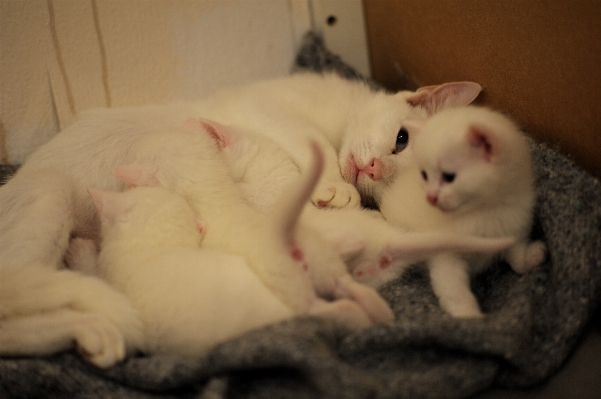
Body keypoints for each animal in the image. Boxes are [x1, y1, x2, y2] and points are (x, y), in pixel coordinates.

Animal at [378, 106, 548, 318]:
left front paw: (533, 257)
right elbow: (454, 291)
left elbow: (517, 259)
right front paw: (469, 315)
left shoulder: (514, 228)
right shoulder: (445, 255)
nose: (430, 198)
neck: (483, 212)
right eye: (425, 175)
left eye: (449, 177)